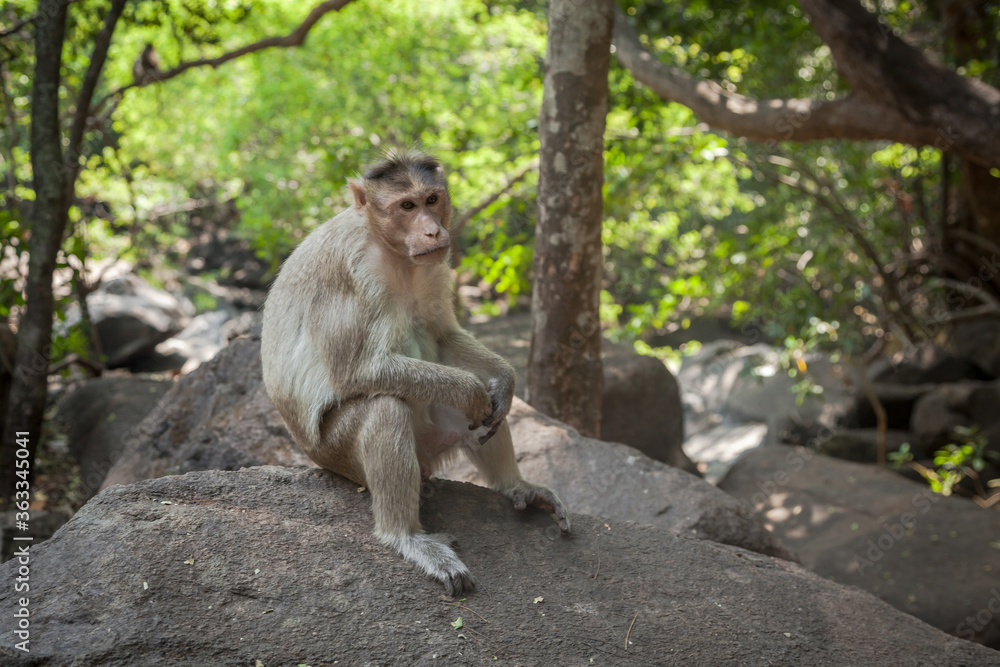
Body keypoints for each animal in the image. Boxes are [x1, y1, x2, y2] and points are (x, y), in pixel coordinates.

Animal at [261, 148, 569, 596]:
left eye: (432, 200)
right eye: (406, 206)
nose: (432, 230)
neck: (392, 252)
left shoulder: (436, 265)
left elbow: (443, 335)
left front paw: (504, 380)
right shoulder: (352, 271)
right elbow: (359, 370)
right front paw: (470, 390)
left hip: (433, 441)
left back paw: (516, 485)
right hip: (339, 458)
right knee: (386, 407)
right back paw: (405, 536)